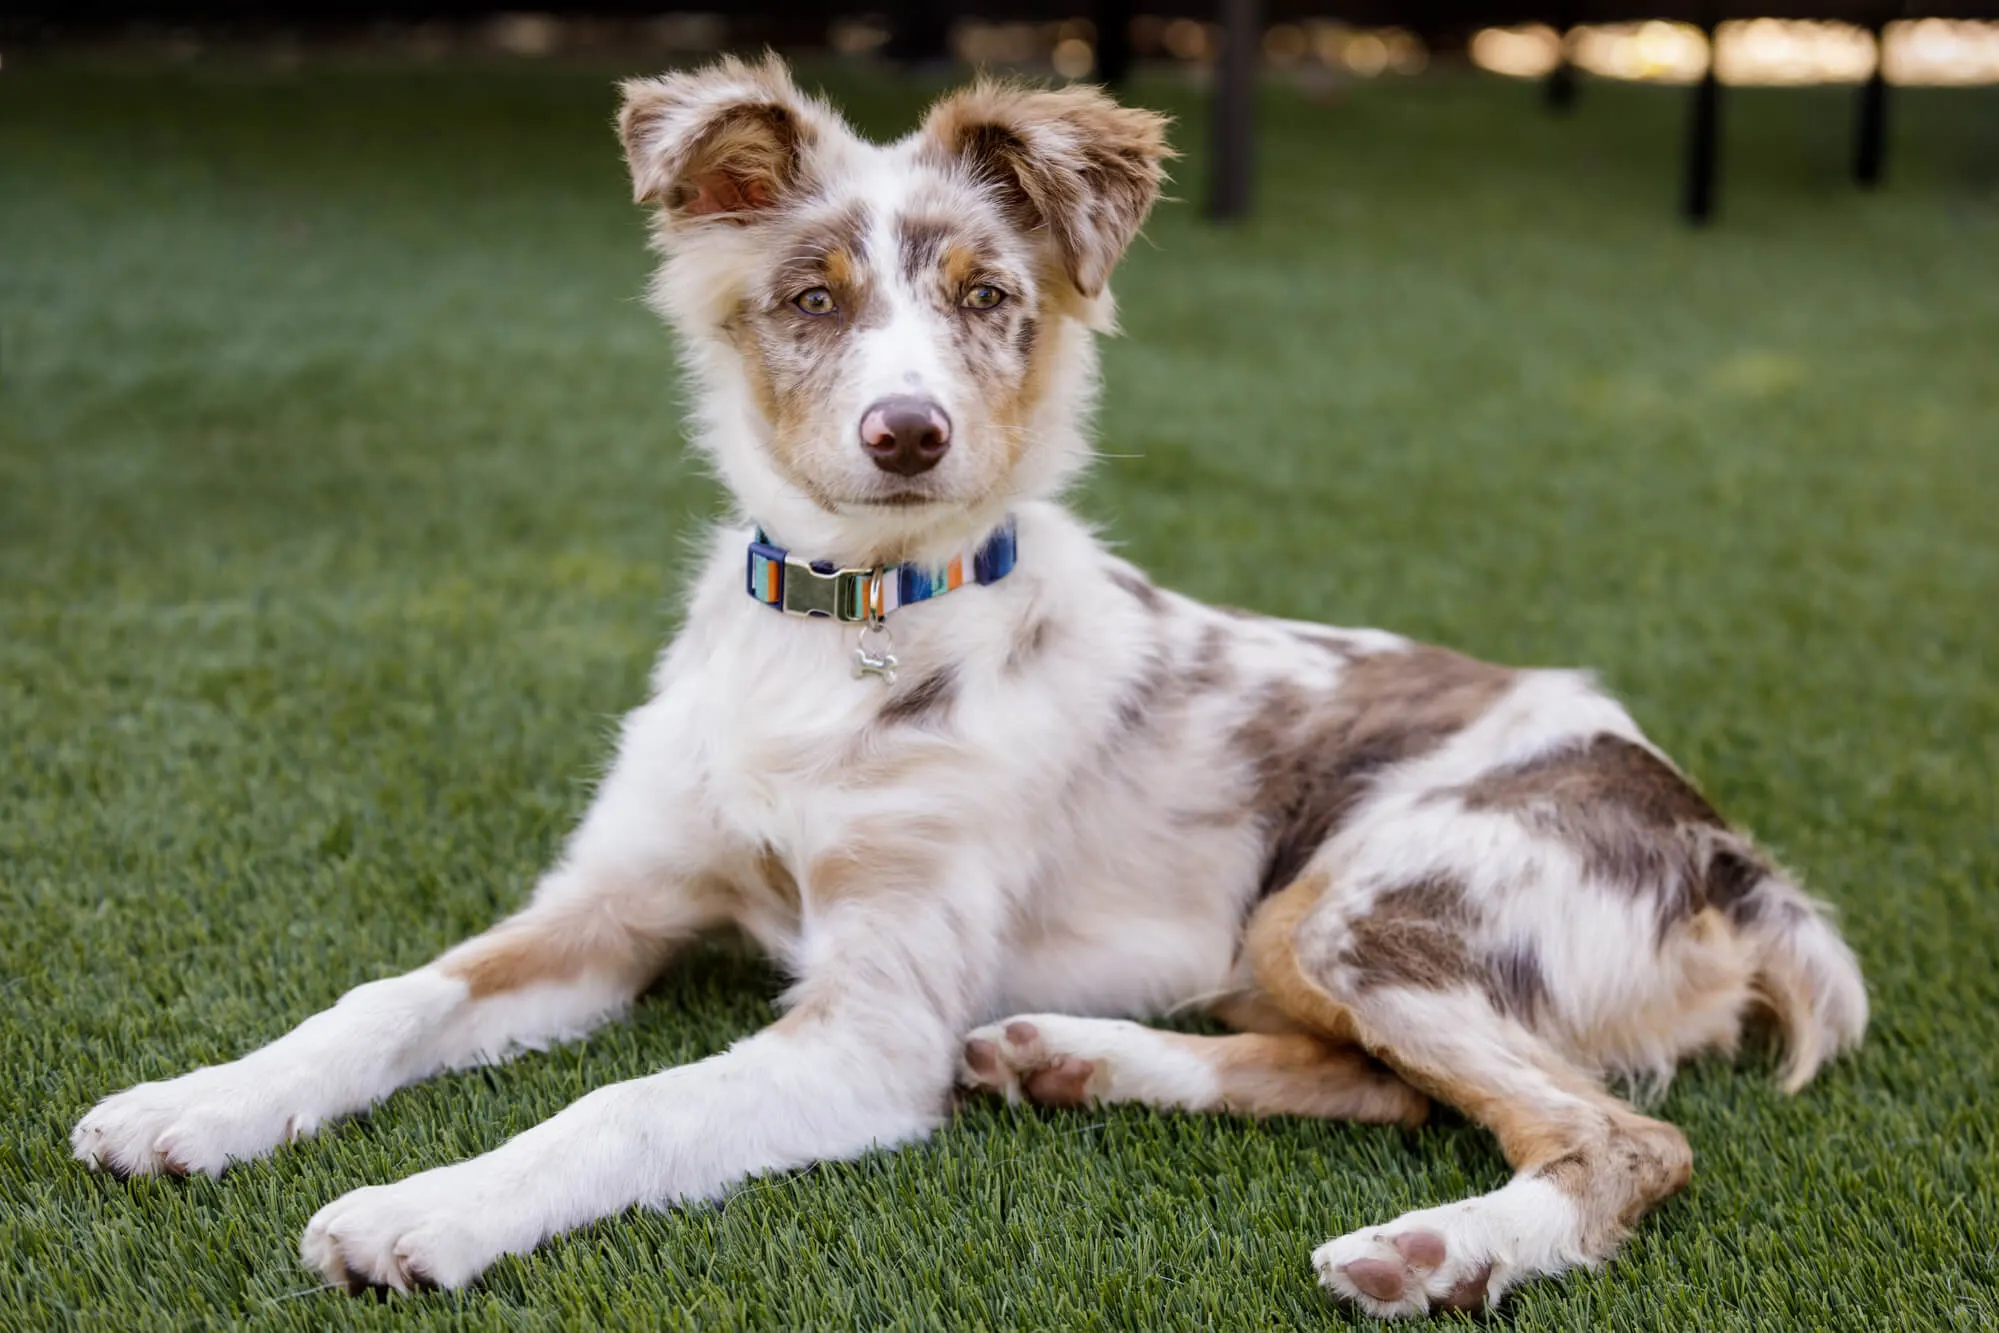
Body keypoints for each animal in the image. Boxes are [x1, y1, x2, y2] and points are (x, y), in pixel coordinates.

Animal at [66, 57, 1871, 1319]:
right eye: (810, 301)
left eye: (986, 300)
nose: (907, 433)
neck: (845, 630)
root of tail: (1730, 851)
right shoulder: (610, 904)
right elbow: (387, 997)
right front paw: (195, 1103)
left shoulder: (868, 1026)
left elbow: (620, 1109)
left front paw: (421, 1209)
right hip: (1305, 934)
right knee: (1369, 1081)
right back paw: (1068, 1060)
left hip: (1369, 896)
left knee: (1613, 1137)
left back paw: (1431, 1252)